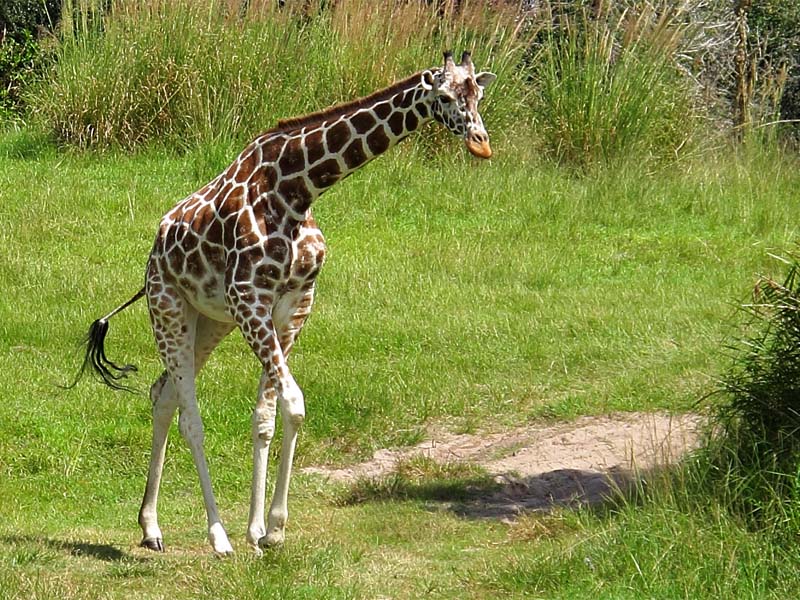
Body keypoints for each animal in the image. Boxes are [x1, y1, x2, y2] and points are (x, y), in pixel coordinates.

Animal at [75, 50, 496, 552]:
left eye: (480, 94)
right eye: (446, 96)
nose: (481, 144)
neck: (297, 190)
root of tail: (156, 249)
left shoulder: (292, 305)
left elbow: (266, 416)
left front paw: (258, 529)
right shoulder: (249, 300)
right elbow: (294, 405)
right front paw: (274, 529)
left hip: (209, 320)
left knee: (163, 395)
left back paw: (151, 527)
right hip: (168, 306)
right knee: (189, 415)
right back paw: (216, 535)